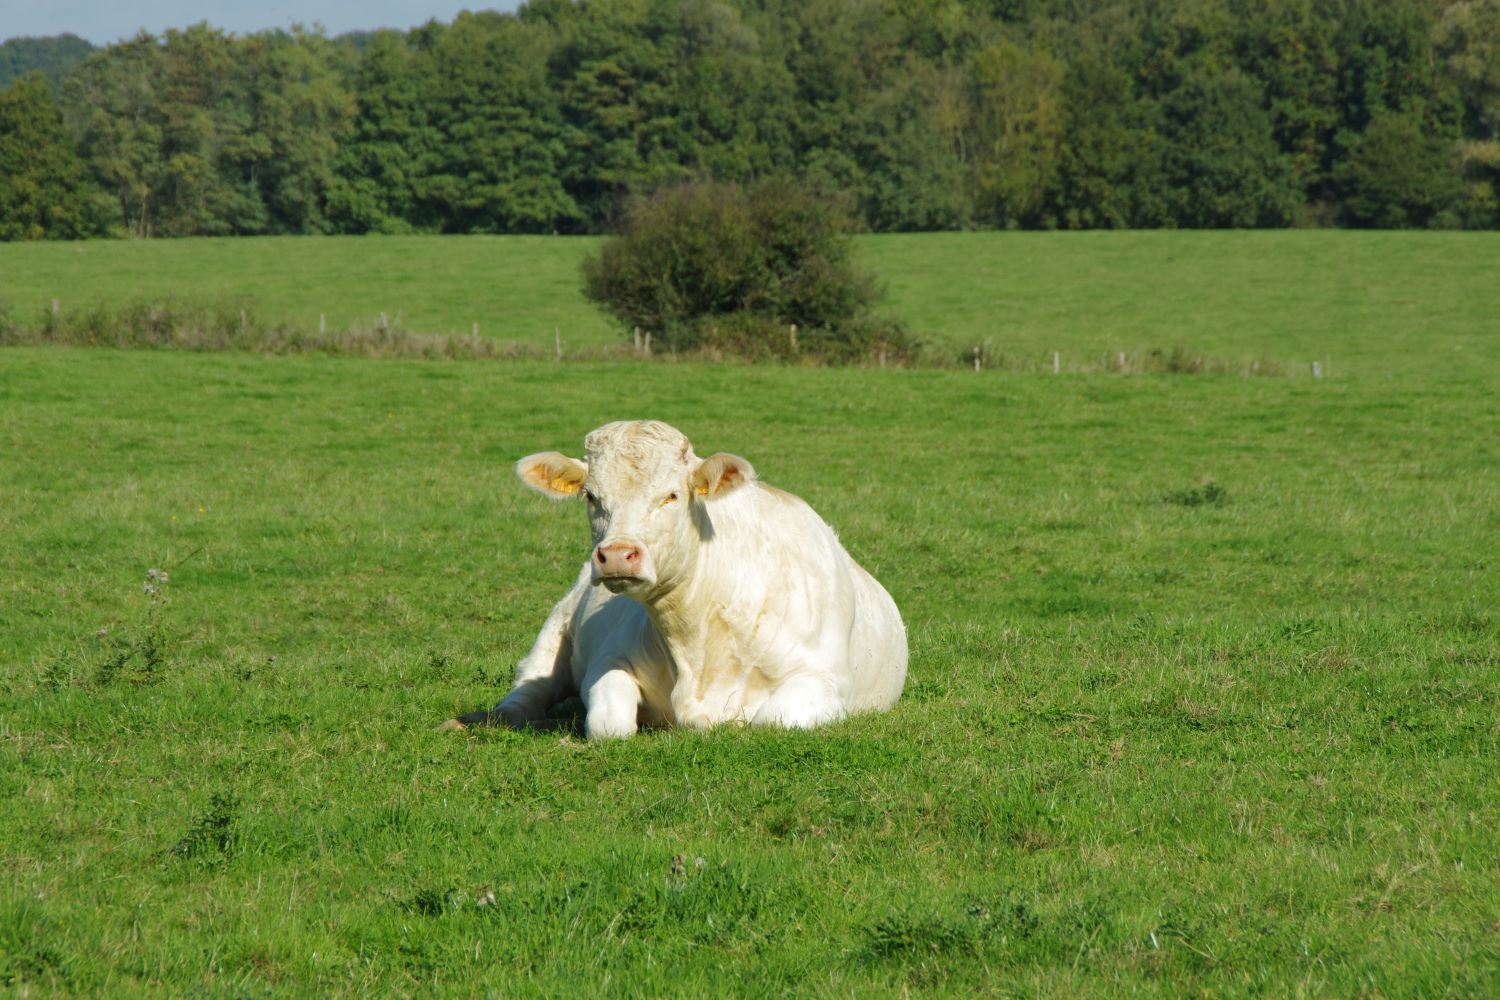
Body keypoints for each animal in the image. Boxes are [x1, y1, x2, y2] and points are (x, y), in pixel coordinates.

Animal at [438, 419, 906, 740]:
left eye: (672, 495)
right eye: (591, 496)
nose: (617, 555)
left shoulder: (824, 681)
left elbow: (773, 719)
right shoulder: (609, 659)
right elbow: (609, 723)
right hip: (556, 629)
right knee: (525, 694)